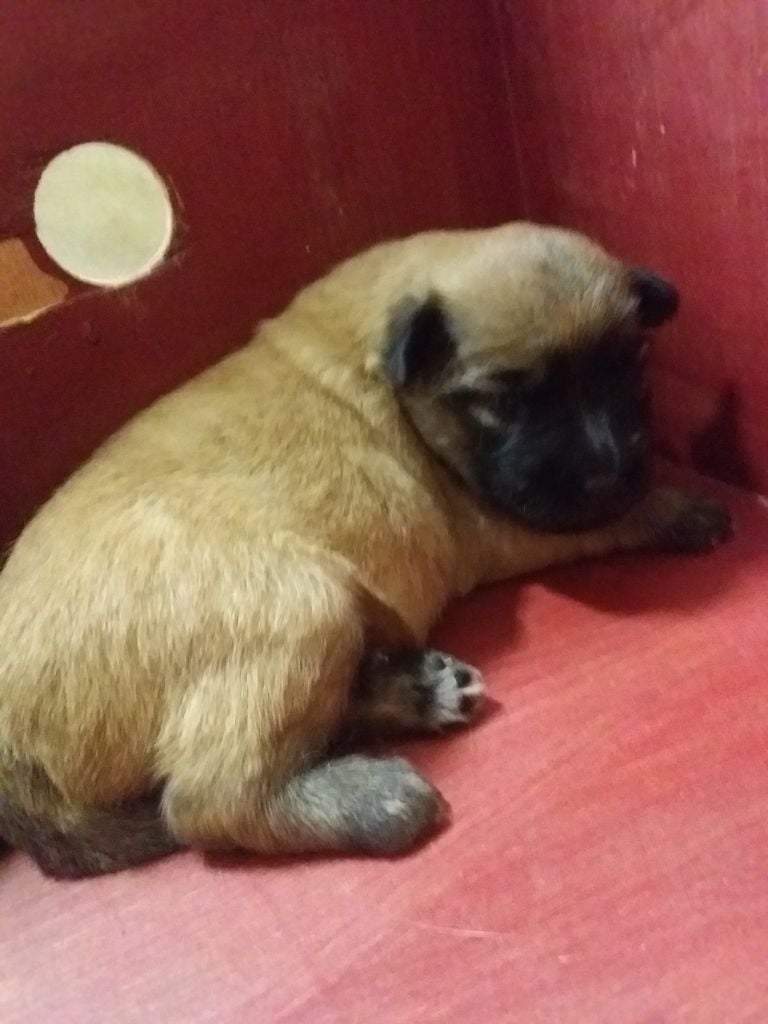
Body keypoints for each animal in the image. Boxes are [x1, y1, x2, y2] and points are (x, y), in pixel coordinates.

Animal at [0, 220, 733, 876]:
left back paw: (416, 693)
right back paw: (380, 801)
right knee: (208, 800)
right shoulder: (499, 519)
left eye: (631, 369)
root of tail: (15, 758)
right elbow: (608, 517)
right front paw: (680, 508)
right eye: (502, 401)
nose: (612, 466)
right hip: (303, 603)